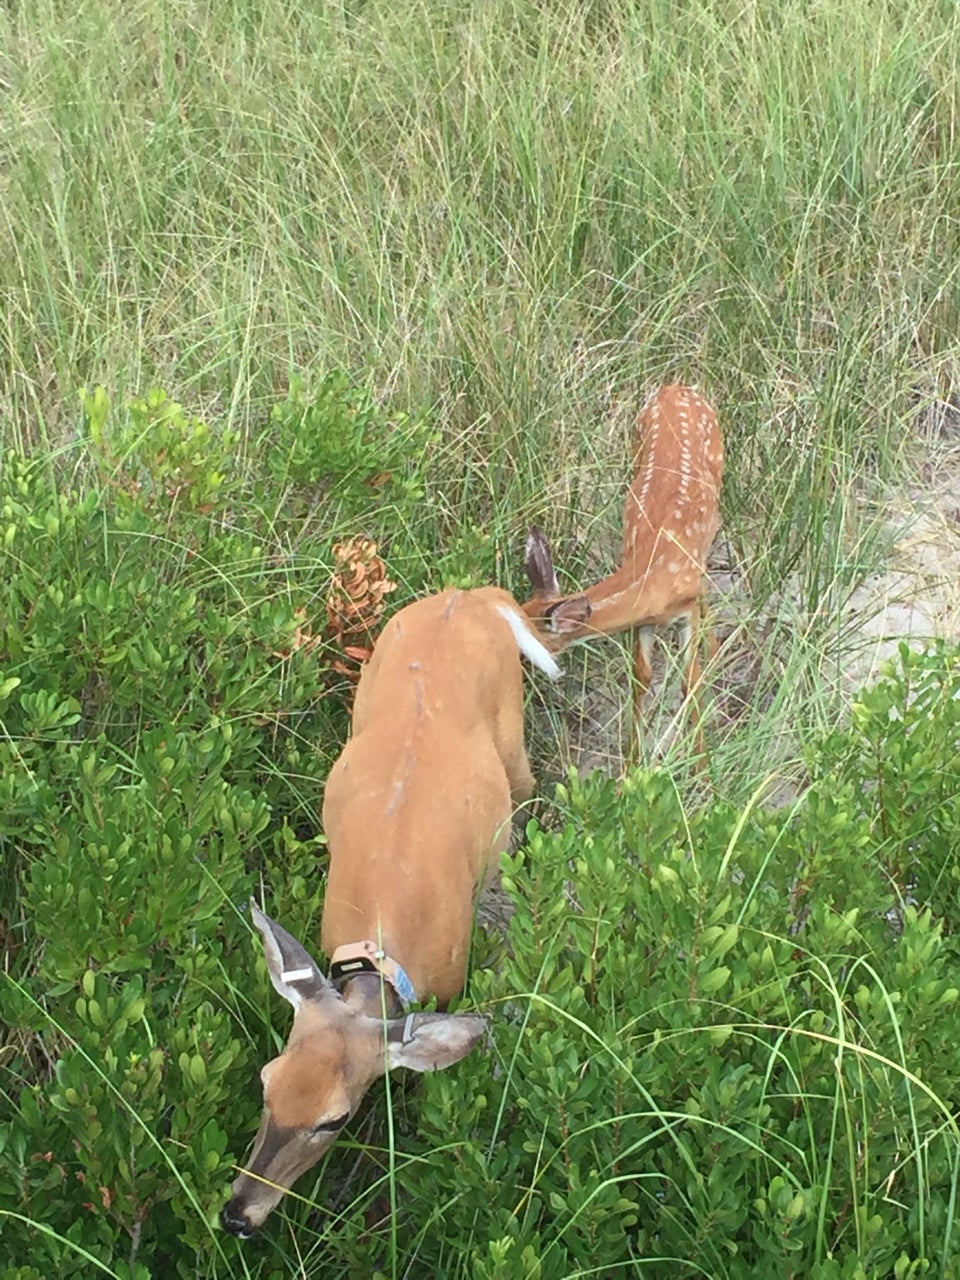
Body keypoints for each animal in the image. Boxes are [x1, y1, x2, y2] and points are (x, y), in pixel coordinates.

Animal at [221, 586, 560, 1233]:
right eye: (265, 1081)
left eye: (335, 1119)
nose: (237, 1215)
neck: (382, 944)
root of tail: (468, 594)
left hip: (514, 735)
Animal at [527, 384, 721, 752]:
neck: (652, 573)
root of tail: (677, 386)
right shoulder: (643, 620)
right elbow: (640, 679)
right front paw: (632, 762)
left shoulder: (686, 610)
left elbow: (690, 681)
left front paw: (703, 763)